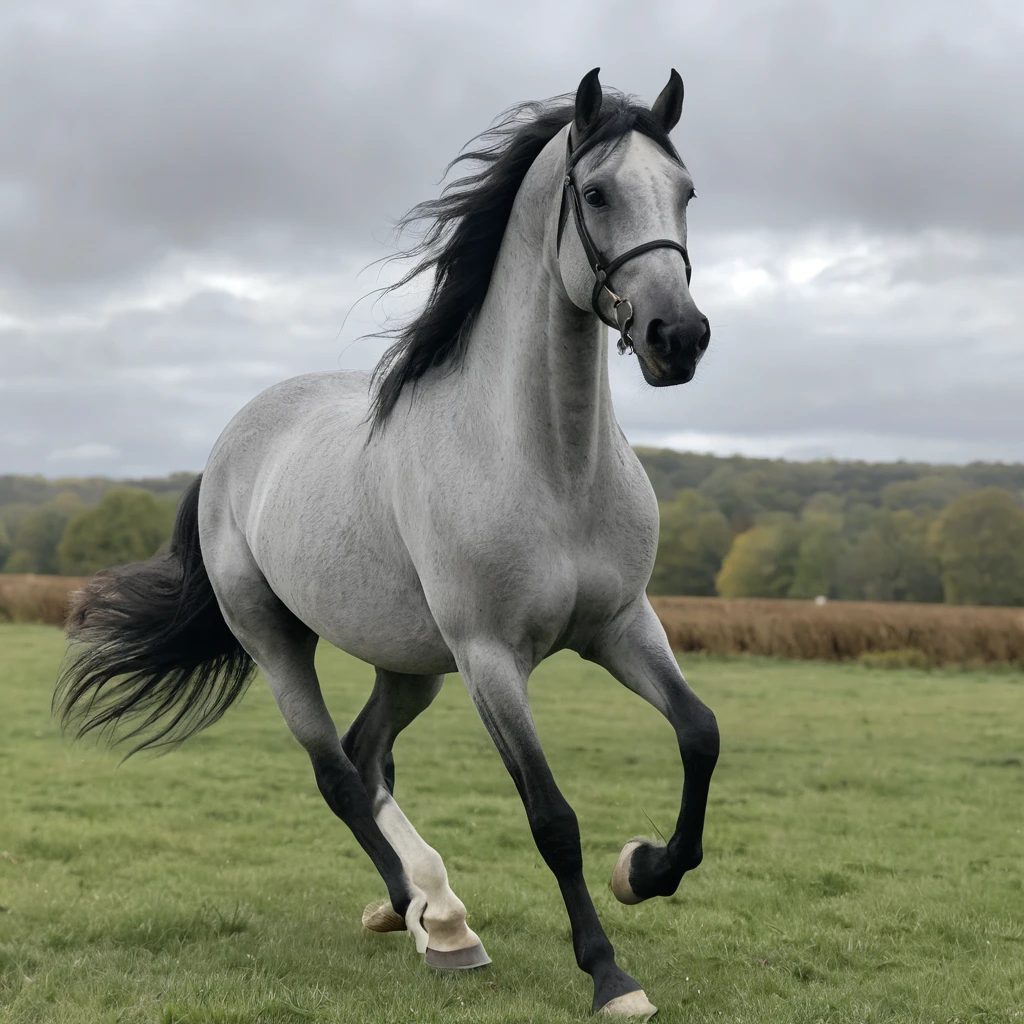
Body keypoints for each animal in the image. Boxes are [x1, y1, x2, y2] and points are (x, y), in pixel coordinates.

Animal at [56, 68, 719, 1019]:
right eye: (597, 193)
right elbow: (552, 817)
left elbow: (699, 734)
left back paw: (423, 911)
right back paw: (433, 913)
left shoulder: (623, 626)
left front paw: (645, 870)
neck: (548, 465)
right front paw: (609, 974)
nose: (679, 337)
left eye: (686, 192)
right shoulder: (490, 660)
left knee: (370, 760)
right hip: (279, 643)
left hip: (409, 666)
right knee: (338, 774)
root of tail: (228, 448)